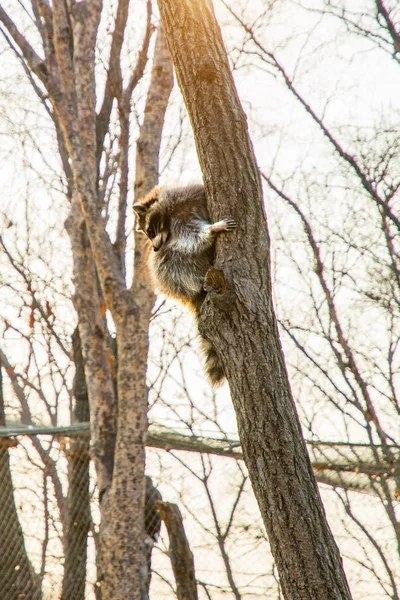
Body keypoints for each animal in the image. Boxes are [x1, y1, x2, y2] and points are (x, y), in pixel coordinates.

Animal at [133, 184, 236, 384]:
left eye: (150, 231)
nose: (154, 247)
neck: (168, 214)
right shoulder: (178, 227)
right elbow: (191, 237)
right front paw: (211, 230)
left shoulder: (190, 199)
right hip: (172, 274)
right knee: (167, 262)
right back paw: (195, 282)